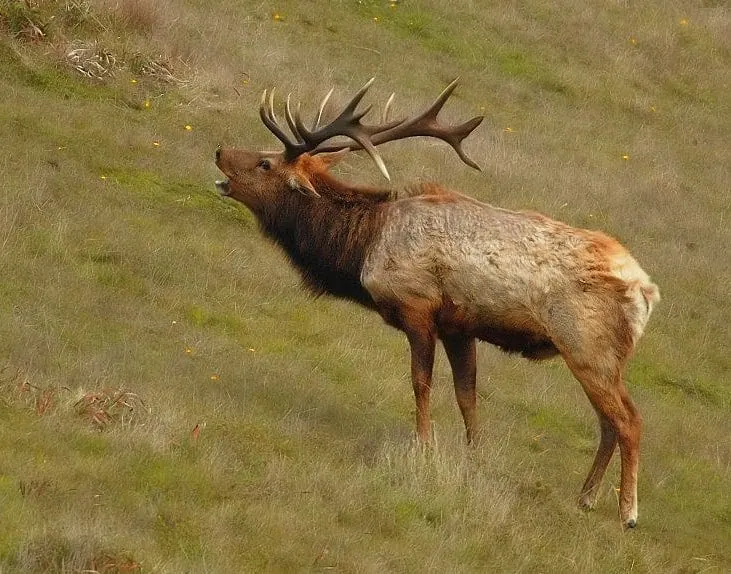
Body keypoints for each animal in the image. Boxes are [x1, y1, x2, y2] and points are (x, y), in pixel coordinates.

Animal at [214, 78, 660, 529]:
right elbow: (467, 395)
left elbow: (420, 382)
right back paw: (585, 497)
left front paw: (424, 447)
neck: (363, 247)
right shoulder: (458, 326)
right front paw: (475, 457)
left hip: (587, 347)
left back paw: (628, 511)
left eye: (266, 163)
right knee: (608, 423)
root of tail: (647, 292)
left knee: (630, 420)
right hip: (602, 358)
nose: (219, 151)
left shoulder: (418, 307)